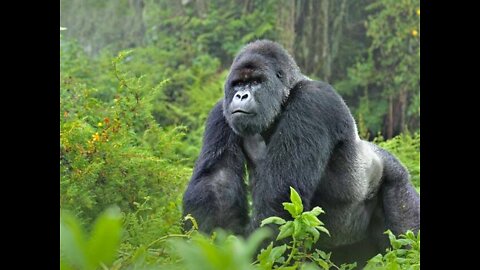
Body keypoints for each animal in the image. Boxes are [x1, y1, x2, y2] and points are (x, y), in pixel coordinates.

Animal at [184, 39, 420, 264]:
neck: (286, 96)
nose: (241, 96)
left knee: (405, 236)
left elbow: (279, 198)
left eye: (255, 82)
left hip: (397, 180)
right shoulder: (221, 111)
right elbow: (217, 180)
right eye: (238, 84)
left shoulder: (311, 102)